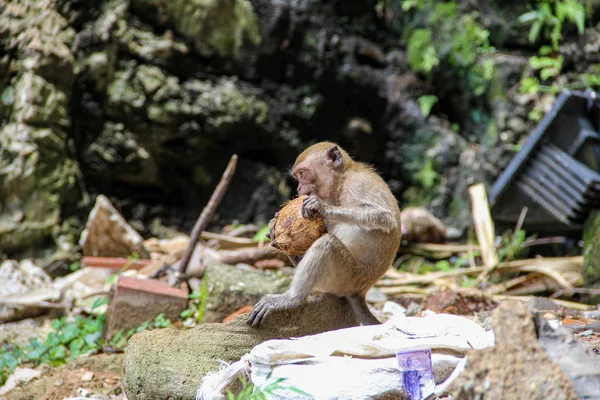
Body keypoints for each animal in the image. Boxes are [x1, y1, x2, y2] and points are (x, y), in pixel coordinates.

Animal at [248, 142, 404, 326]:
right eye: (298, 177)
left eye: (302, 173)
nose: (299, 188)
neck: (341, 180)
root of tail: (360, 292)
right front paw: (273, 225)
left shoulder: (358, 183)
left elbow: (385, 218)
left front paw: (320, 206)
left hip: (347, 278)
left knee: (326, 244)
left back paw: (293, 298)